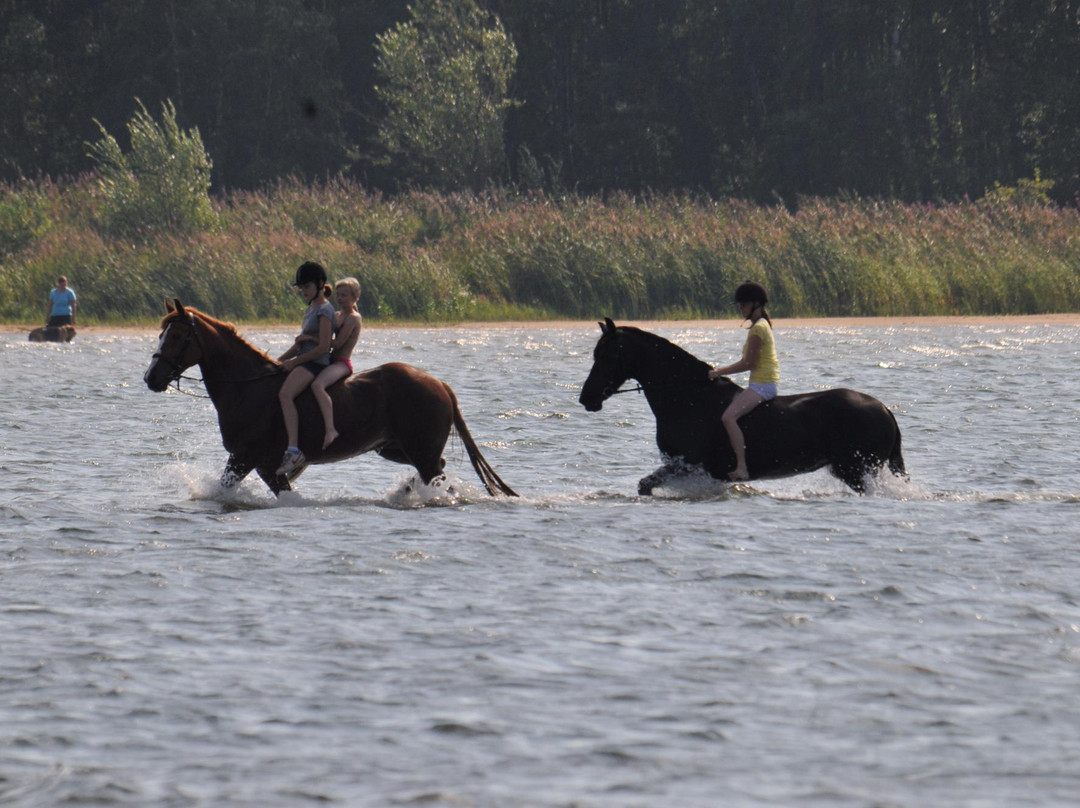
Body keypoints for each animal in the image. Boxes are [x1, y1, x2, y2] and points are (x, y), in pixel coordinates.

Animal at [144, 298, 518, 499]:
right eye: (161, 334)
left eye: (176, 336)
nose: (151, 378)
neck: (247, 387)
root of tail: (439, 383)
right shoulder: (257, 463)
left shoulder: (249, 458)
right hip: (395, 448)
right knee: (439, 472)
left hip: (420, 451)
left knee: (440, 480)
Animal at [578, 319, 907, 494]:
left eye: (608, 355)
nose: (586, 399)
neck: (688, 399)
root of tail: (884, 408)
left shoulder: (690, 465)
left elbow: (644, 485)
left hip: (856, 470)